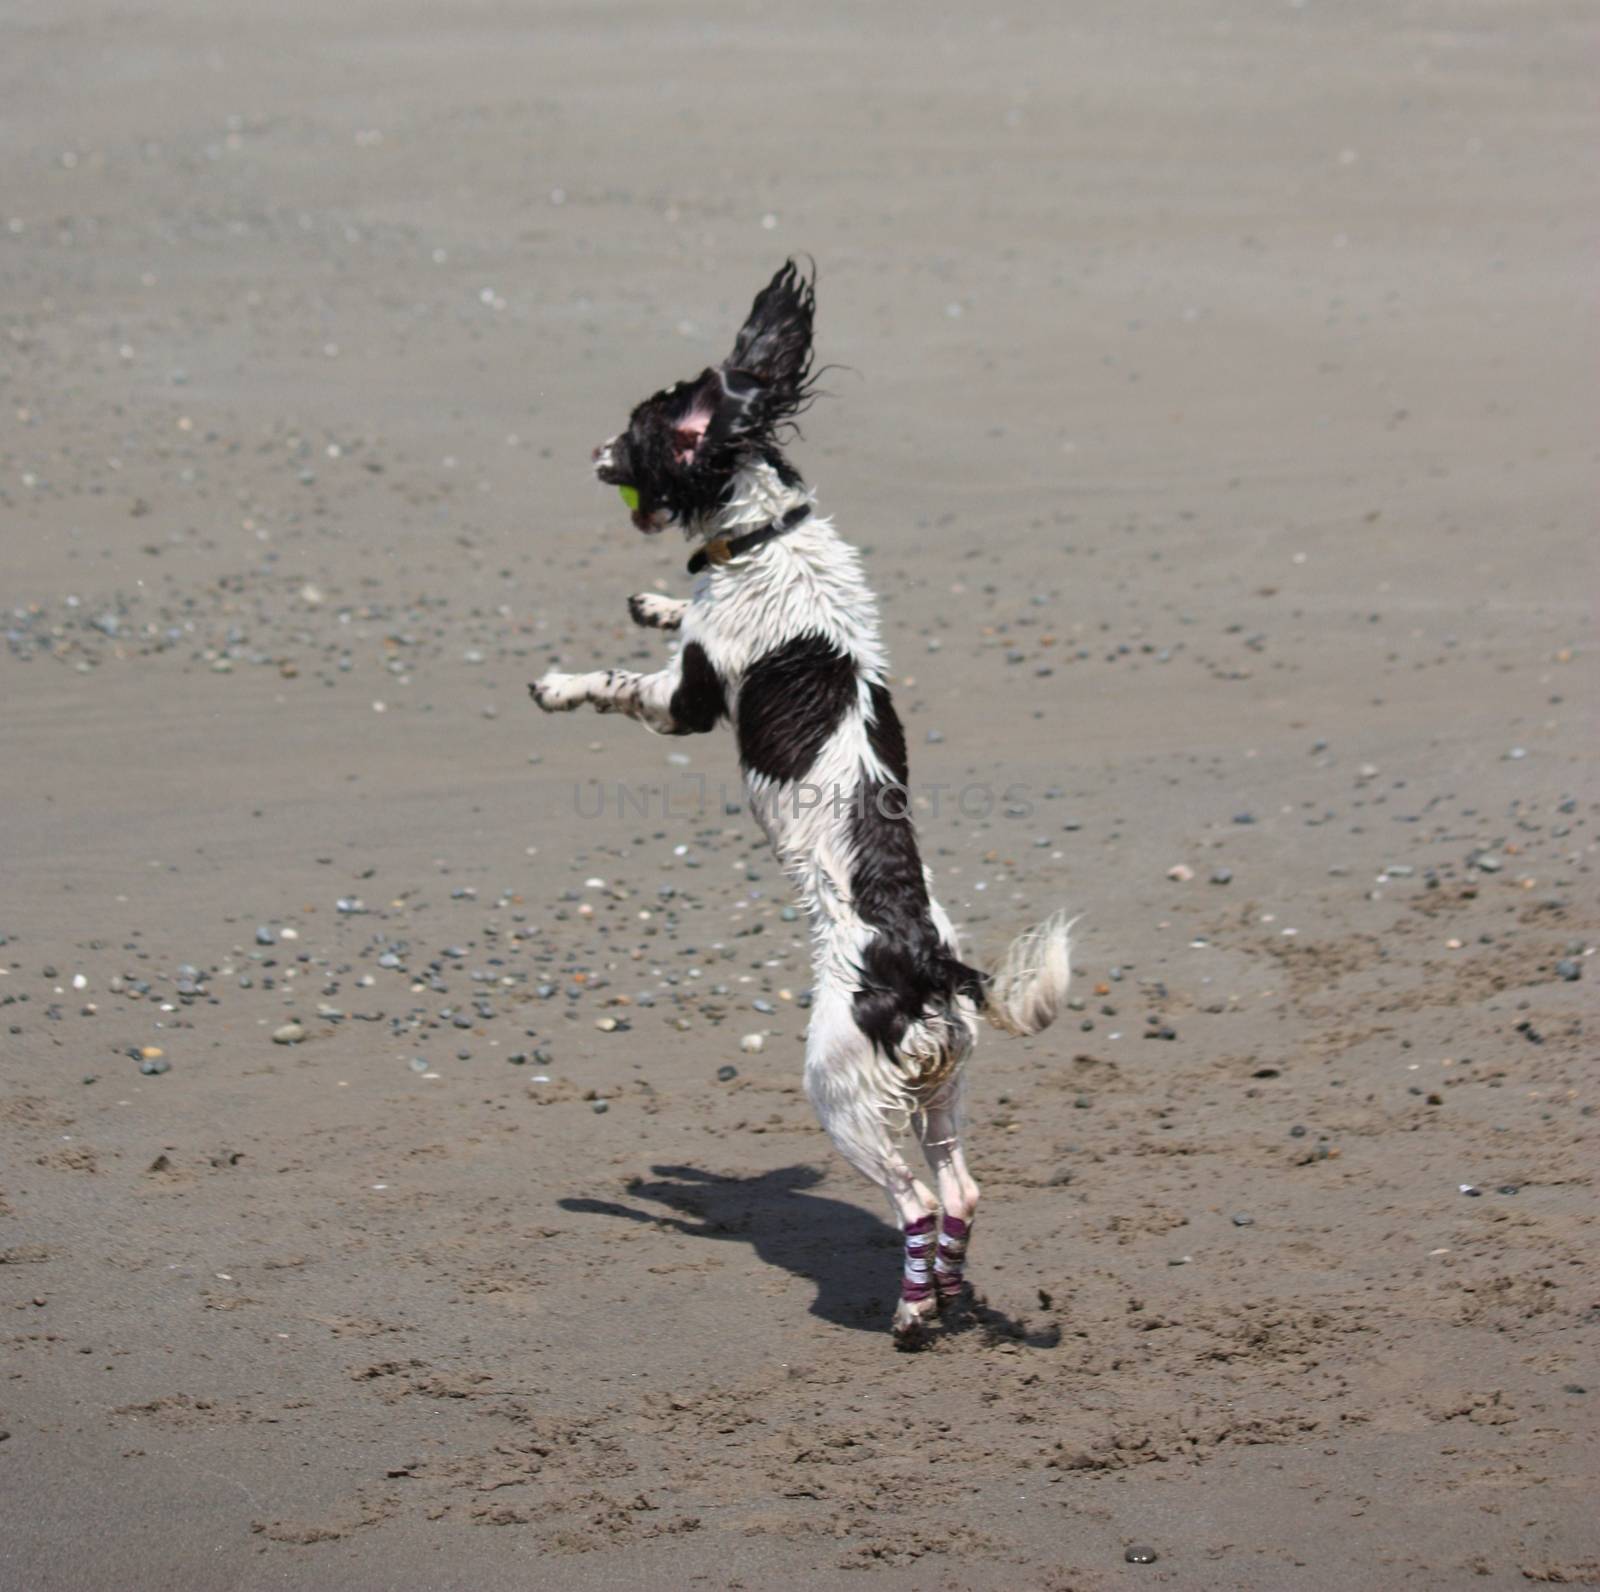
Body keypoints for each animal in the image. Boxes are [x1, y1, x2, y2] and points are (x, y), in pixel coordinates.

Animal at [531, 264, 1068, 1344]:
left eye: (636, 429)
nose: (589, 448)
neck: (765, 534)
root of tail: (930, 963)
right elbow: (667, 614)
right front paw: (653, 600)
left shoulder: (689, 701)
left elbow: (621, 683)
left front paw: (561, 681)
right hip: (944, 1082)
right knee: (962, 1189)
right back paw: (947, 1295)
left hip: (844, 1090)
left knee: (915, 1199)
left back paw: (910, 1312)